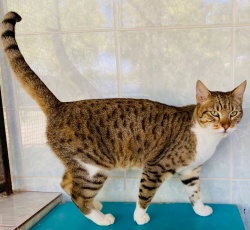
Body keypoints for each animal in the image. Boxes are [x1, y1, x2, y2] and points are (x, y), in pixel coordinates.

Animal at [0, 11, 246, 226]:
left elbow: (195, 192)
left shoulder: (191, 171)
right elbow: (145, 193)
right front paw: (140, 216)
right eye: (214, 113)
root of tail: (61, 105)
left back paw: (96, 205)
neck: (207, 137)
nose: (225, 125)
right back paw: (101, 218)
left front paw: (201, 209)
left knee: (66, 182)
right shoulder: (156, 166)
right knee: (78, 195)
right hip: (94, 168)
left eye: (233, 113)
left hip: (80, 165)